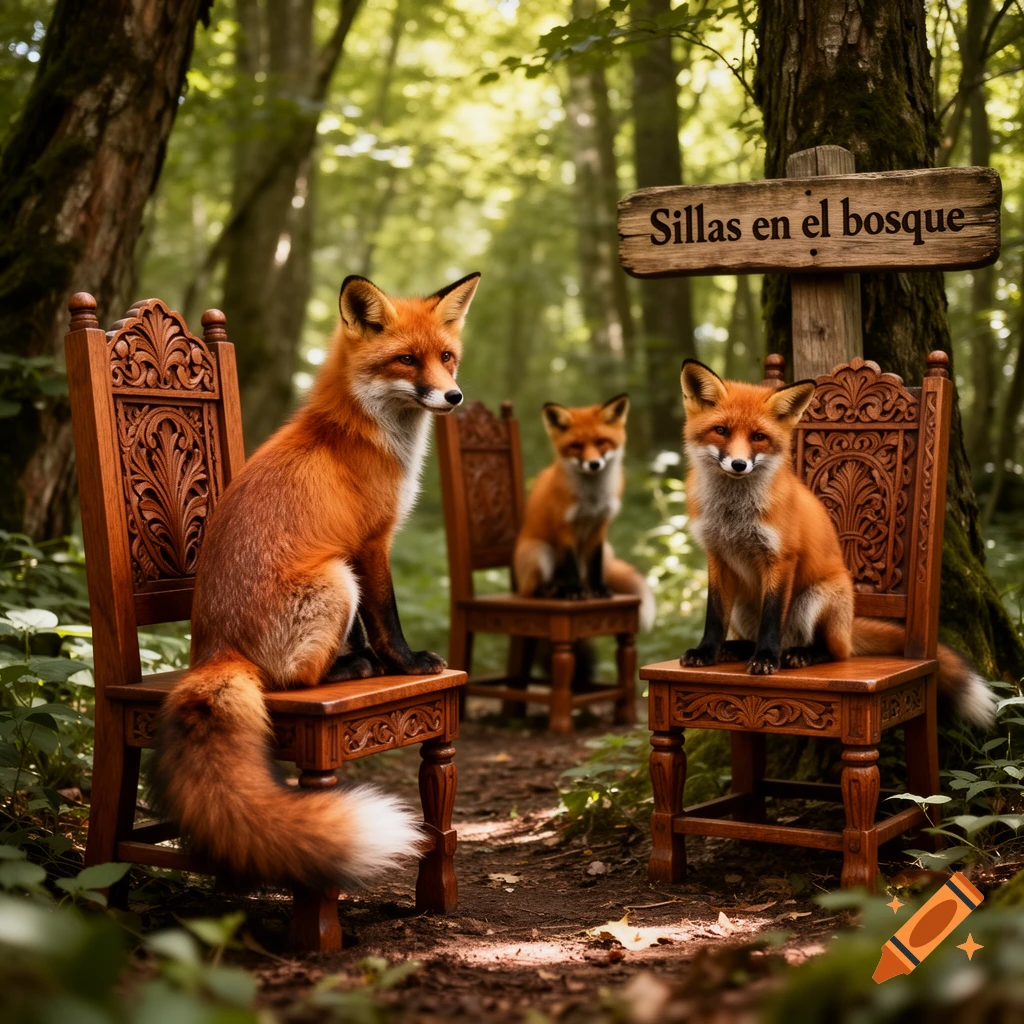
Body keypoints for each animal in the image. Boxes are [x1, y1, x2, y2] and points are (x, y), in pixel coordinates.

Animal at [151, 271, 481, 889]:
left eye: (447, 358)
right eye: (407, 360)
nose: (453, 397)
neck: (363, 431)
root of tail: (213, 652)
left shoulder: (361, 551)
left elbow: (367, 628)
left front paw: (376, 658)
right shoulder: (370, 545)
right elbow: (386, 619)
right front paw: (405, 664)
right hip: (335, 579)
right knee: (290, 680)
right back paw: (351, 671)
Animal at [513, 394, 655, 630]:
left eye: (601, 442)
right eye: (576, 446)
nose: (594, 464)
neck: (591, 501)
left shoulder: (600, 526)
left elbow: (595, 564)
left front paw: (599, 590)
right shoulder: (565, 526)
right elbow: (570, 564)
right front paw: (574, 593)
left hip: (606, 551)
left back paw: (584, 589)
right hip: (539, 553)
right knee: (531, 591)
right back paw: (556, 591)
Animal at [678, 359, 996, 728]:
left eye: (758, 437)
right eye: (721, 431)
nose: (739, 464)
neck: (734, 513)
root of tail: (849, 624)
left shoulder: (781, 558)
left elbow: (772, 617)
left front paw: (766, 660)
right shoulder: (717, 555)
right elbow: (714, 614)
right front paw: (706, 652)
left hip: (815, 599)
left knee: (833, 651)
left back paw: (796, 655)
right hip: (744, 605)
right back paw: (738, 649)